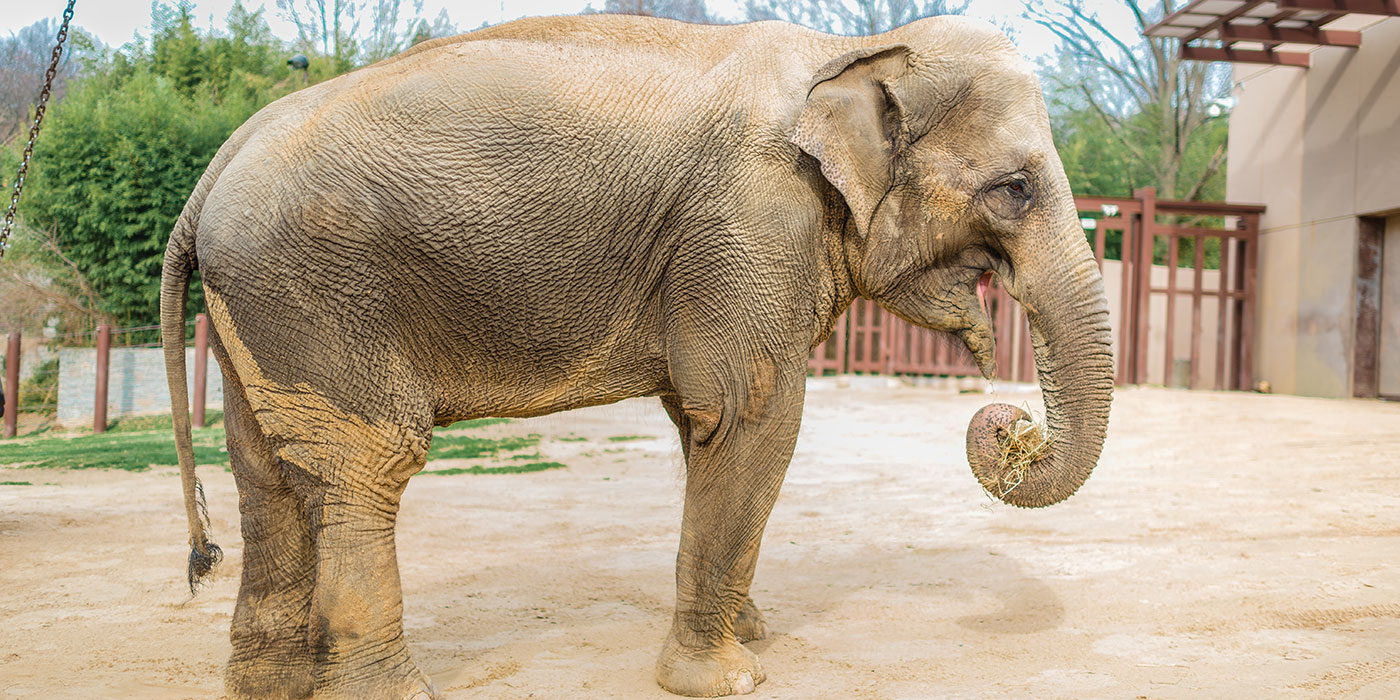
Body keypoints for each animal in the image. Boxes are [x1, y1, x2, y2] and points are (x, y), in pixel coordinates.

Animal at [158, 10, 1108, 700]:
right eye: (1015, 189)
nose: (1006, 424)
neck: (846, 52)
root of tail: (209, 174)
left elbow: (704, 428)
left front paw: (747, 632)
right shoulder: (751, 221)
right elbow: (751, 414)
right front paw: (727, 678)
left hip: (263, 307)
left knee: (265, 471)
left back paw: (266, 687)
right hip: (315, 291)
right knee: (365, 466)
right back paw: (389, 693)